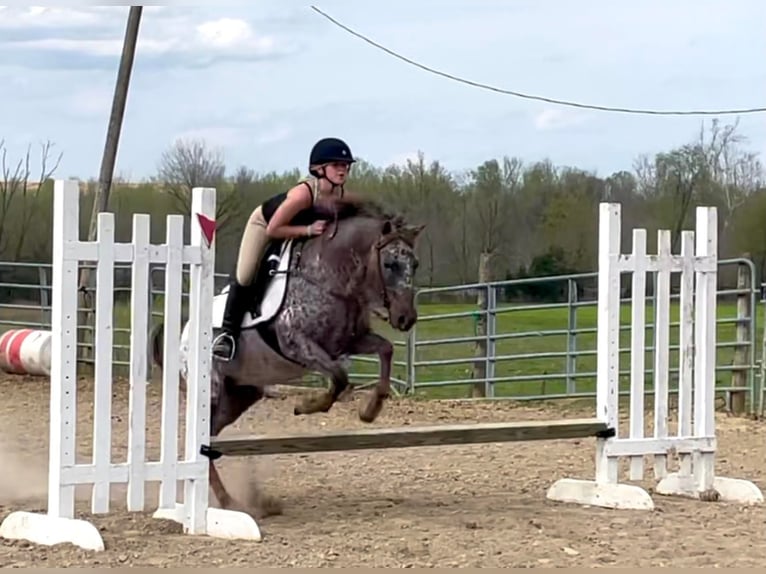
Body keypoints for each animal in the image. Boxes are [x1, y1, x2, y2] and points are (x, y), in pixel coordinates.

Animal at [150, 196, 426, 516]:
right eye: (390, 264)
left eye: (414, 264)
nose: (406, 318)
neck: (328, 277)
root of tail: (183, 330)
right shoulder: (298, 344)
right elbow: (340, 378)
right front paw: (307, 406)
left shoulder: (348, 342)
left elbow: (385, 350)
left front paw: (370, 410)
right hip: (212, 389)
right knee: (199, 439)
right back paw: (228, 503)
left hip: (240, 395)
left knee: (210, 437)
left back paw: (231, 501)